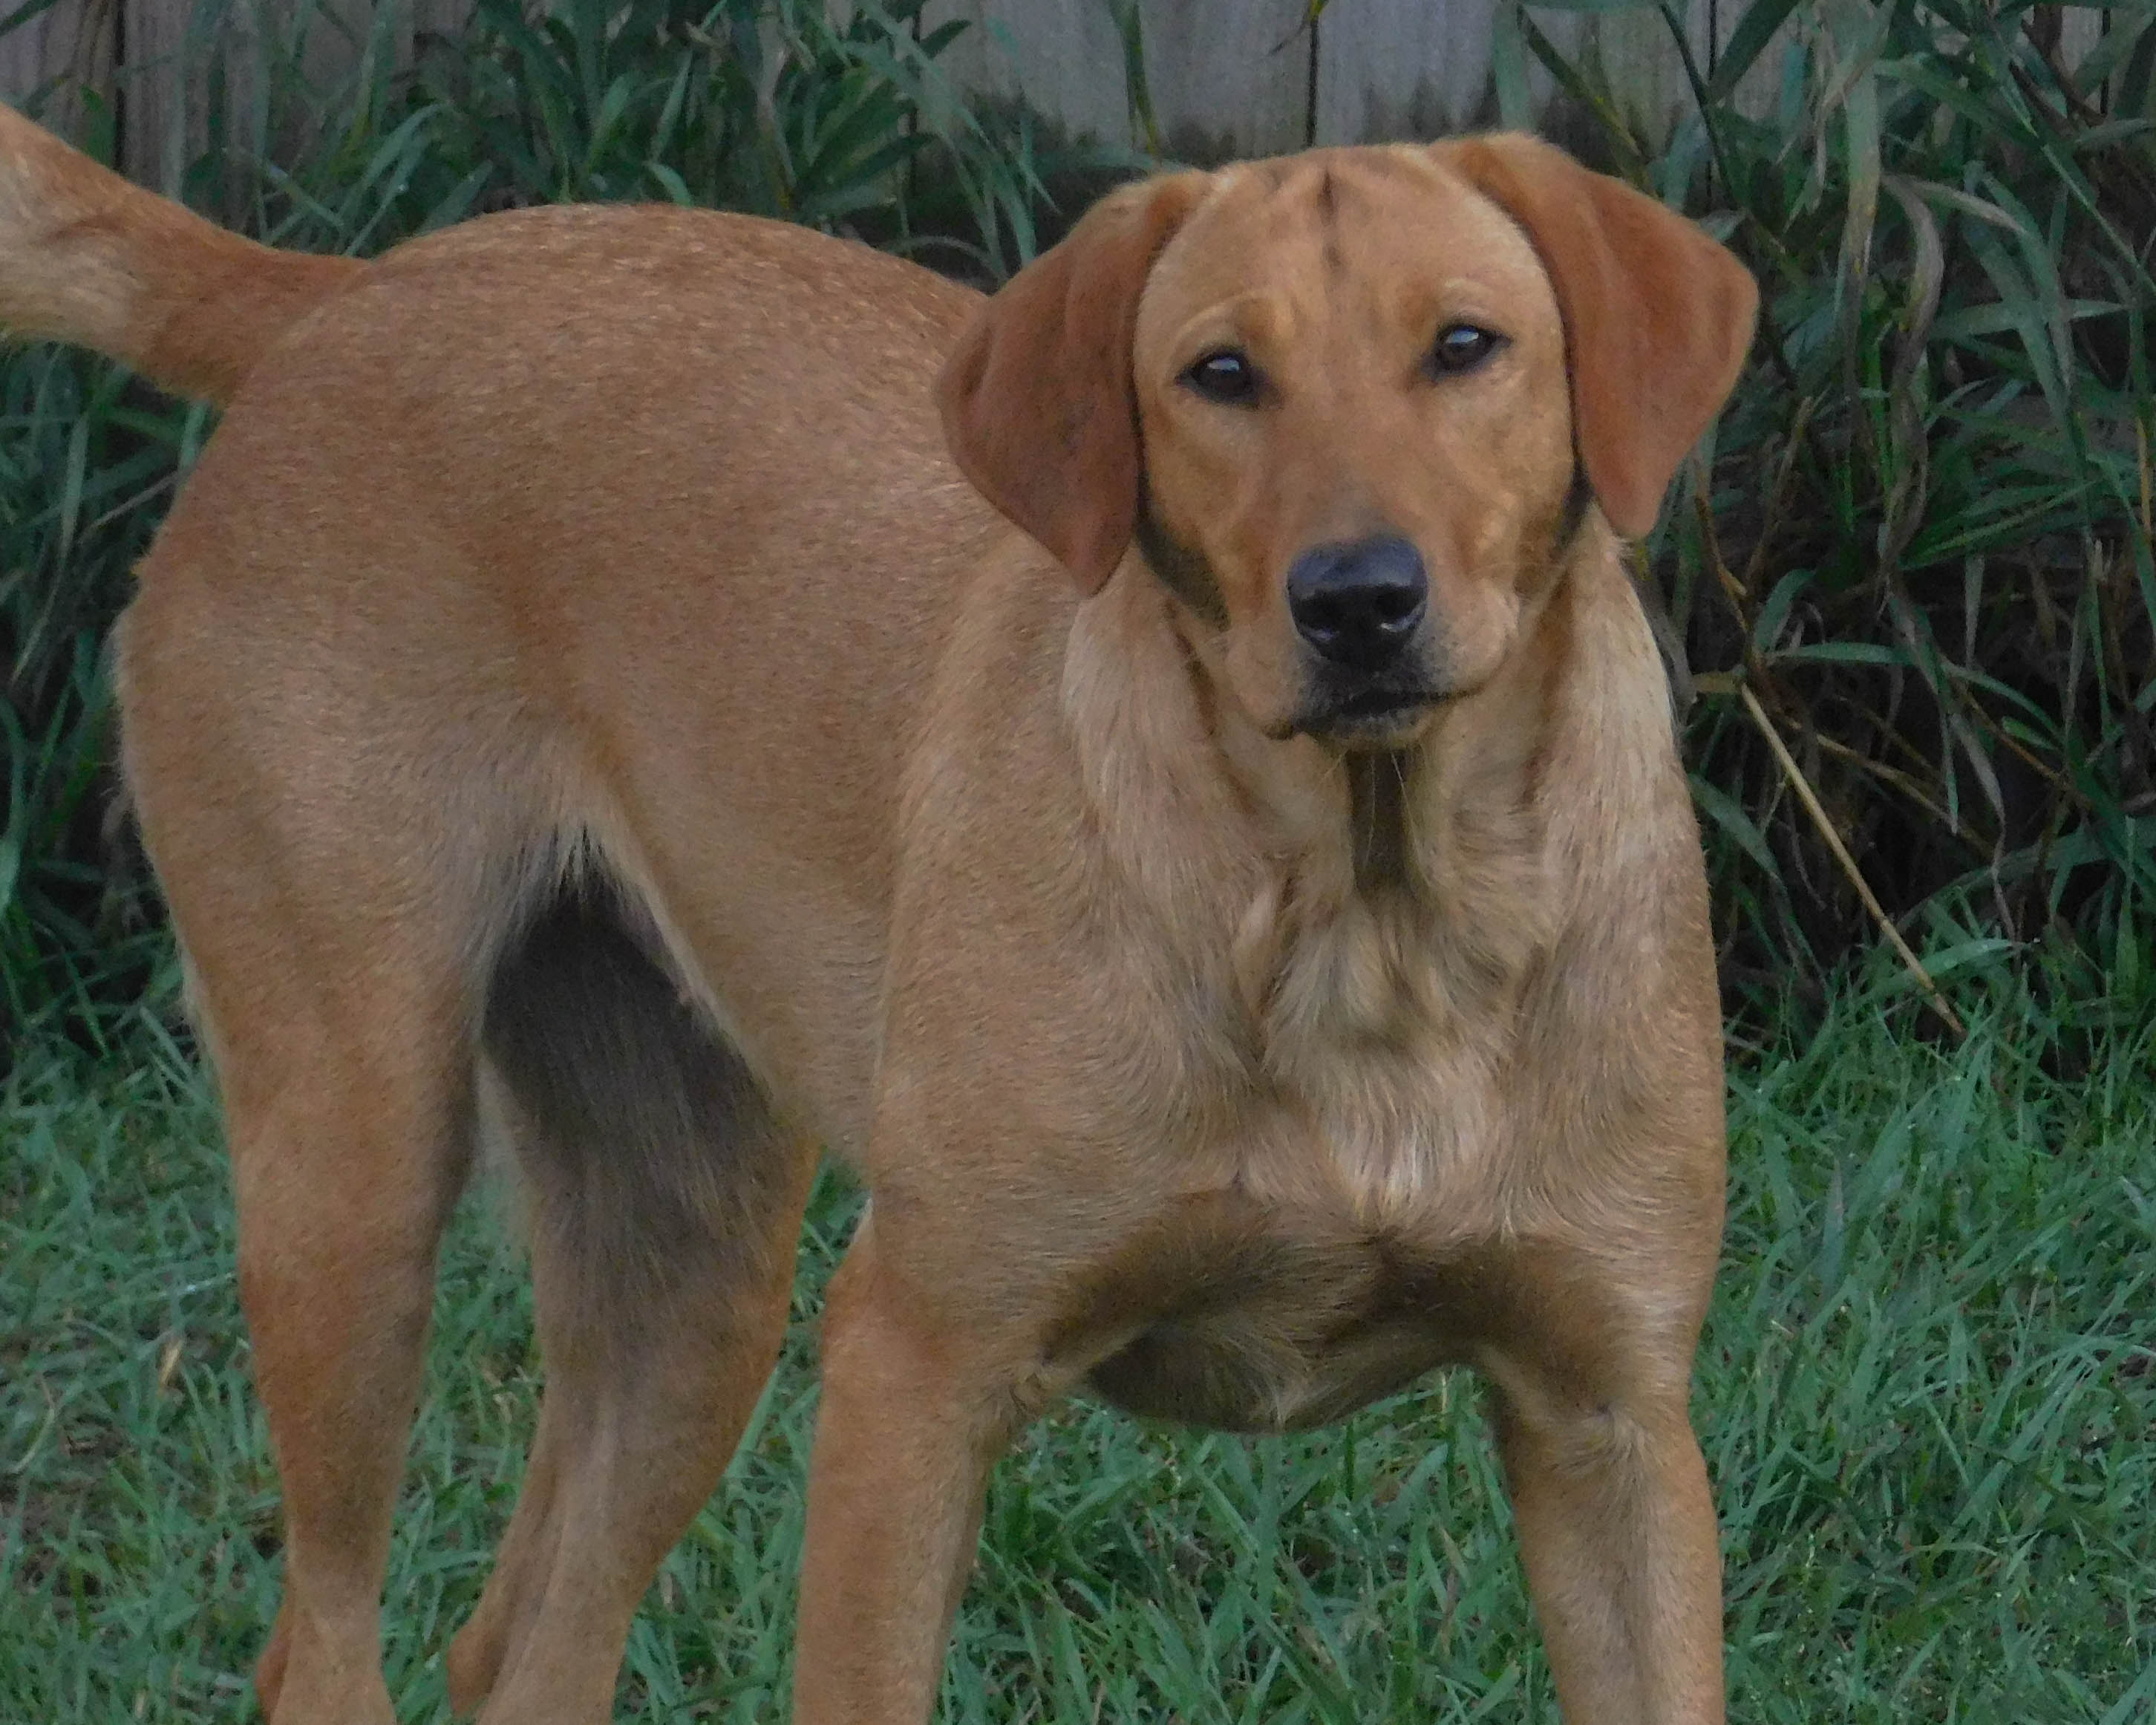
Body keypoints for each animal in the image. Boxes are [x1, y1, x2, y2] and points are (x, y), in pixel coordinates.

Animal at [0, 101, 1751, 1716]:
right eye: (1220, 375)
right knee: (321, 1647)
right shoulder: (916, 1370)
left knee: (517, 1650)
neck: (1372, 921)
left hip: (693, 1283)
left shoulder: (1610, 1426)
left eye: (1465, 347)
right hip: (356, 1183)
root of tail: (346, 293)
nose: (1357, 602)